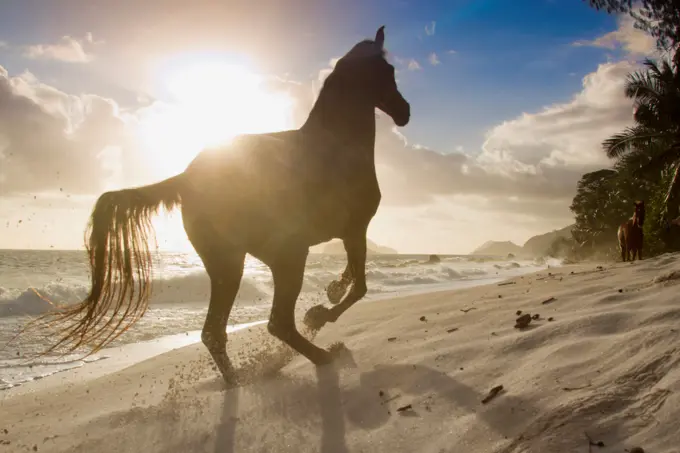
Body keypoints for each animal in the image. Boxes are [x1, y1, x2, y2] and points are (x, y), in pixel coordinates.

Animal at [35, 25, 410, 384]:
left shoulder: (350, 232)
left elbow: (352, 276)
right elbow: (360, 285)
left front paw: (331, 291)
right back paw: (321, 355)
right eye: (388, 71)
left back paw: (238, 380)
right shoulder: (355, 228)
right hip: (280, 257)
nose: (404, 112)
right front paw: (320, 313)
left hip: (230, 265)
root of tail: (187, 178)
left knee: (215, 332)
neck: (336, 144)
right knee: (275, 322)